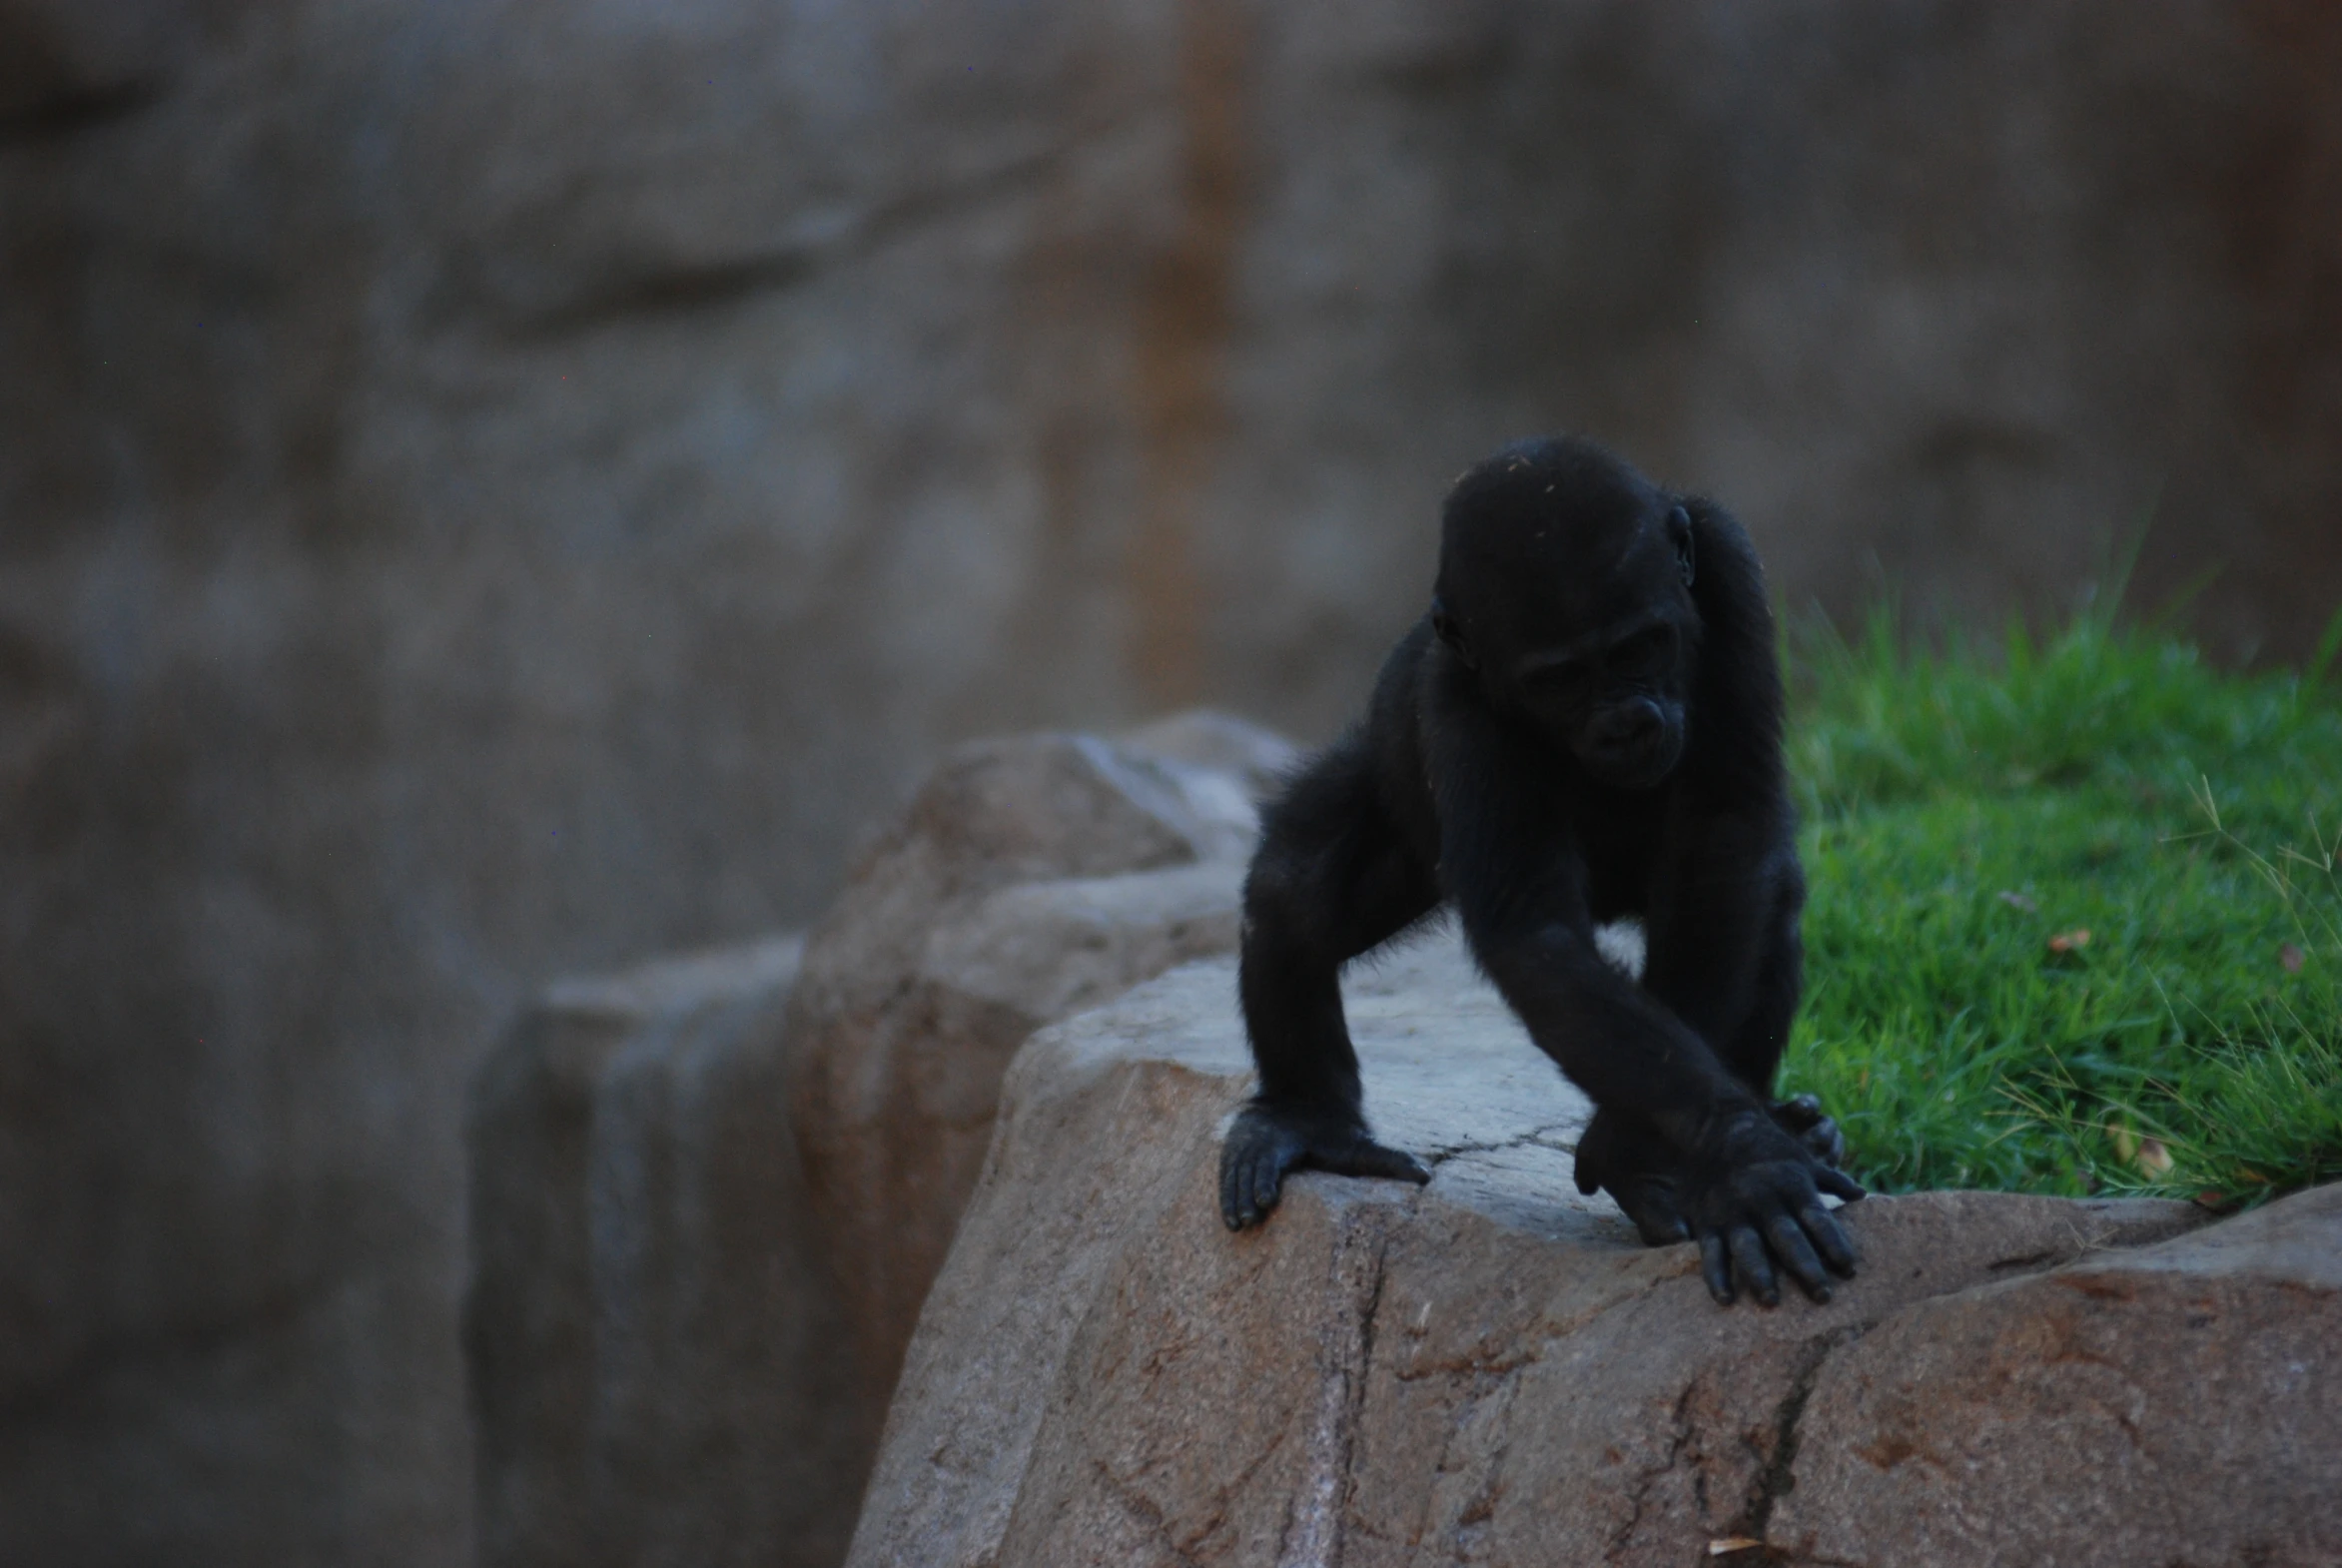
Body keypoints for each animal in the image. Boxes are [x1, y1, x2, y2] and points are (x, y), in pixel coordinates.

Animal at [1226, 434, 1864, 1310]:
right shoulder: (1459, 702)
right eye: (1558, 680)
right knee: (1292, 891)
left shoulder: (1728, 568)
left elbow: (1727, 843)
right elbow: (1539, 939)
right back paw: (1307, 1119)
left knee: (1766, 892)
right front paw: (1735, 1156)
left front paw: (1660, 1151)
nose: (1626, 724)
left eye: (1640, 646)